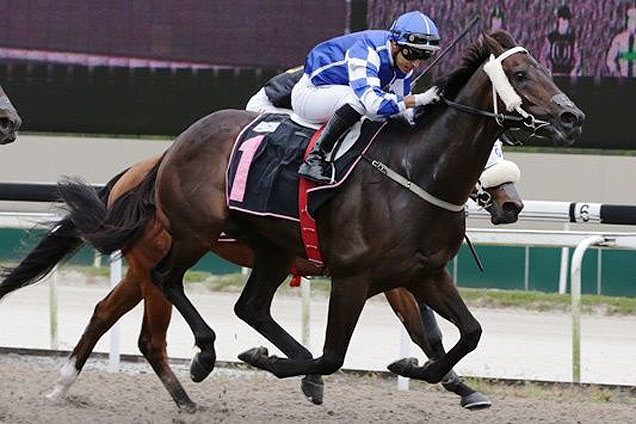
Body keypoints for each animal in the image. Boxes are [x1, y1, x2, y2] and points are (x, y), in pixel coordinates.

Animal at [0, 152, 520, 410]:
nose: (511, 204)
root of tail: (140, 172)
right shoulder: (376, 272)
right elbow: (425, 329)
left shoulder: (403, 272)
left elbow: (428, 329)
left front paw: (460, 386)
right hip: (157, 259)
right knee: (151, 336)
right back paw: (188, 390)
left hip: (139, 267)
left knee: (105, 312)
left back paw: (65, 386)